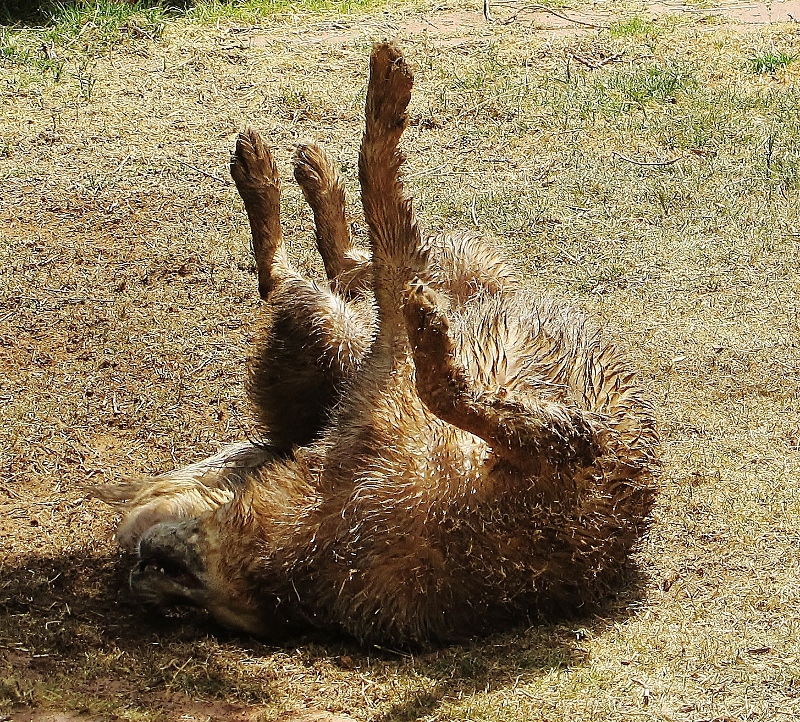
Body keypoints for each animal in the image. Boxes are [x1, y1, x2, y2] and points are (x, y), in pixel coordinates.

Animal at [96, 42, 658, 647]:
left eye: (173, 595)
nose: (138, 570)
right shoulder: (546, 443)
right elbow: (428, 349)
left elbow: (389, 240)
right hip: (346, 322)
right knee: (324, 270)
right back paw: (306, 171)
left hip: (442, 280)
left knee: (343, 266)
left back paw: (308, 169)